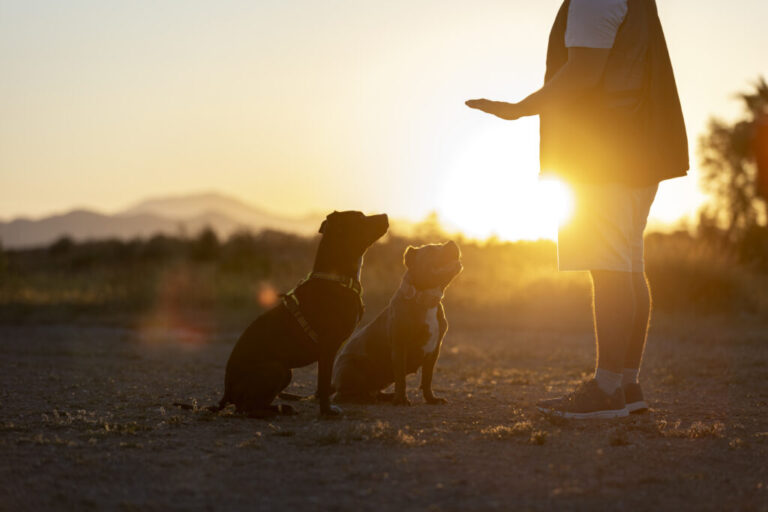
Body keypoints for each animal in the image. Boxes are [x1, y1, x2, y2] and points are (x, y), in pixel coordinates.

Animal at [220, 211, 390, 416]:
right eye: (361, 218)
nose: (386, 215)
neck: (336, 278)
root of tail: (227, 391)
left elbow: (322, 383)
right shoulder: (327, 347)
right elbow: (323, 384)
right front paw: (327, 412)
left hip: (286, 372)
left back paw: (282, 407)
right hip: (276, 368)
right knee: (246, 408)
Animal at [332, 242, 462, 406]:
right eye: (432, 249)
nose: (452, 242)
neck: (424, 298)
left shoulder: (433, 352)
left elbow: (427, 379)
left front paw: (431, 399)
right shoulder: (400, 346)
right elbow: (401, 377)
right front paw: (401, 400)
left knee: (373, 389)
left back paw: (384, 396)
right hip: (352, 366)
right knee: (342, 394)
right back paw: (364, 398)